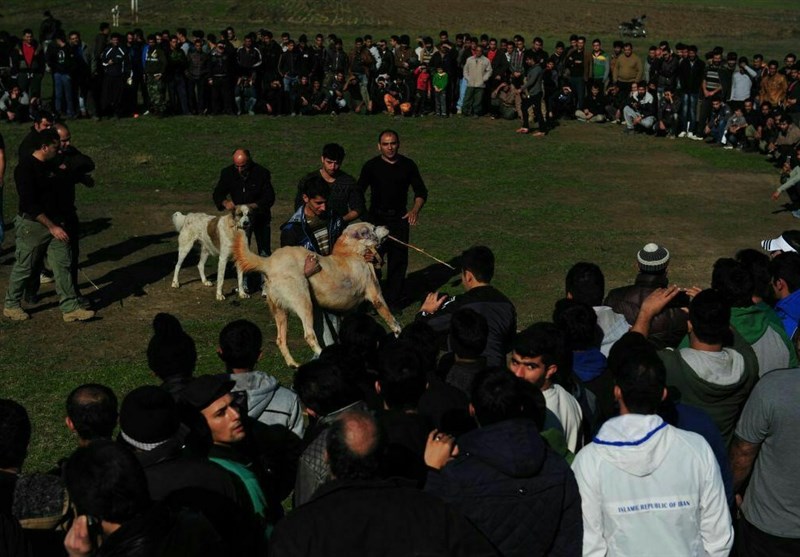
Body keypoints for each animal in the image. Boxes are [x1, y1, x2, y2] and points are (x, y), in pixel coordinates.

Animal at [234, 219, 404, 368]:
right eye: (373, 227)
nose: (387, 226)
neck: (352, 252)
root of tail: (269, 262)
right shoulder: (376, 297)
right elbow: (392, 320)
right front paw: (398, 334)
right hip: (304, 304)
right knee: (309, 335)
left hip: (280, 312)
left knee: (280, 340)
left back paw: (292, 364)